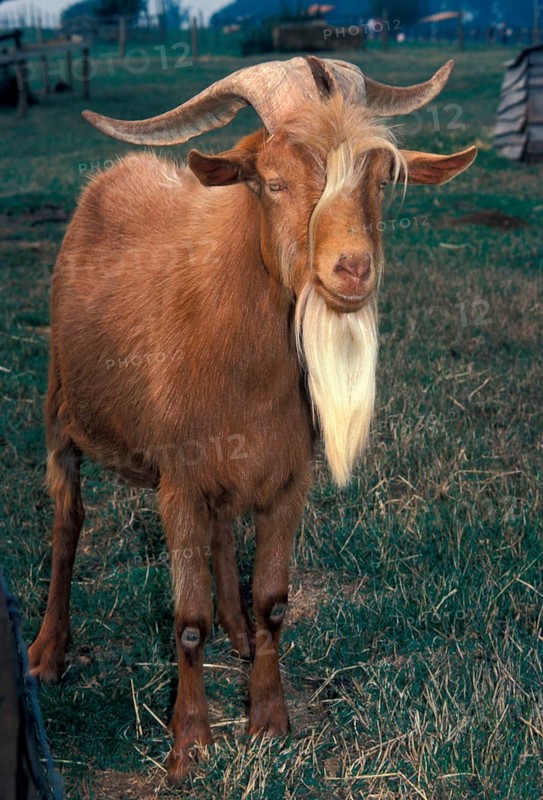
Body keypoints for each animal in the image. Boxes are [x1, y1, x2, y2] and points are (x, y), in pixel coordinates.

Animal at [29, 56, 476, 783]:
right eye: (273, 181)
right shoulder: (177, 482)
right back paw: (47, 653)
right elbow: (185, 620)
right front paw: (190, 745)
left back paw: (234, 632)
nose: (352, 269)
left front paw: (268, 720)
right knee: (68, 523)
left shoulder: (287, 479)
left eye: (379, 180)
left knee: (219, 532)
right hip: (58, 410)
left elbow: (273, 601)